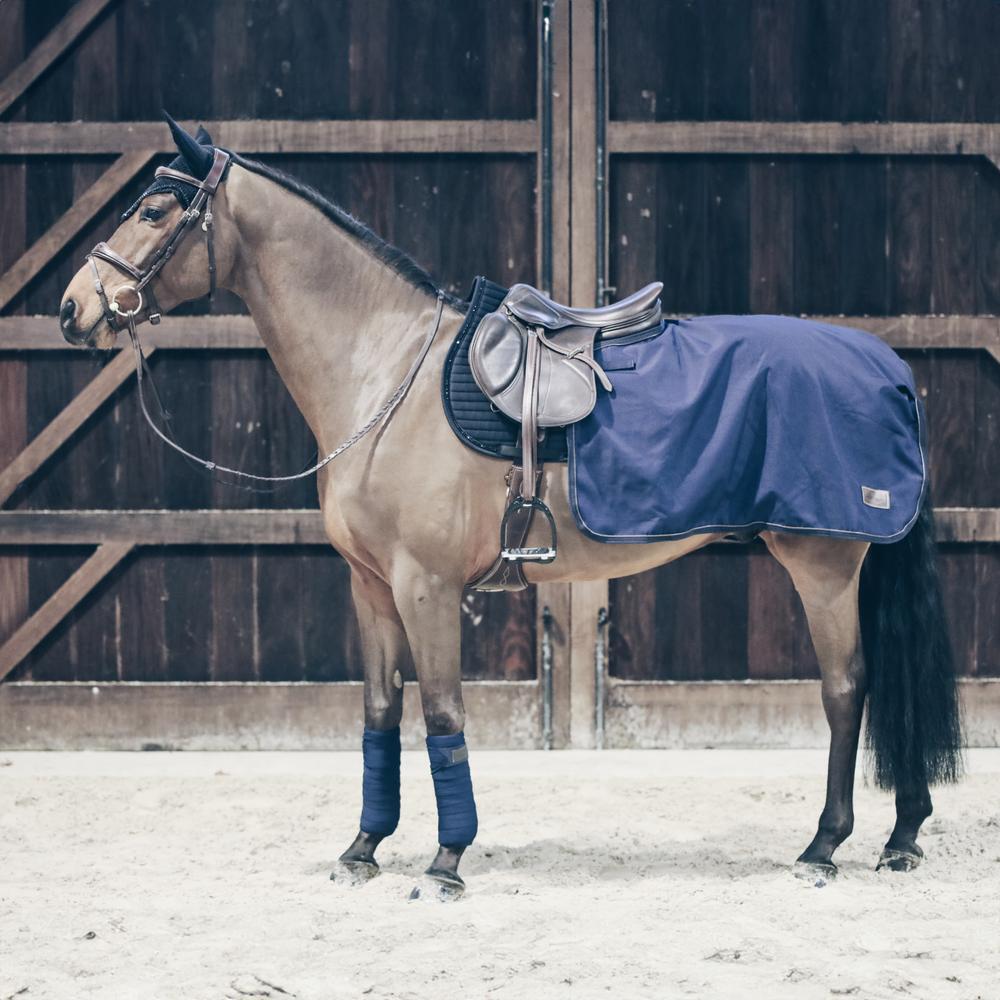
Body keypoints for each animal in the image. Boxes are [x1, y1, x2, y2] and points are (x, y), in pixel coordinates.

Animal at [59, 116, 962, 898]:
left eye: (153, 209)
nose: (73, 308)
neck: (387, 369)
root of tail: (884, 366)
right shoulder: (371, 587)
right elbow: (380, 712)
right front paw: (364, 848)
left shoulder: (425, 587)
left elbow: (442, 713)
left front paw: (446, 861)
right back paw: (902, 836)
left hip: (823, 565)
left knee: (846, 689)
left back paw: (824, 846)